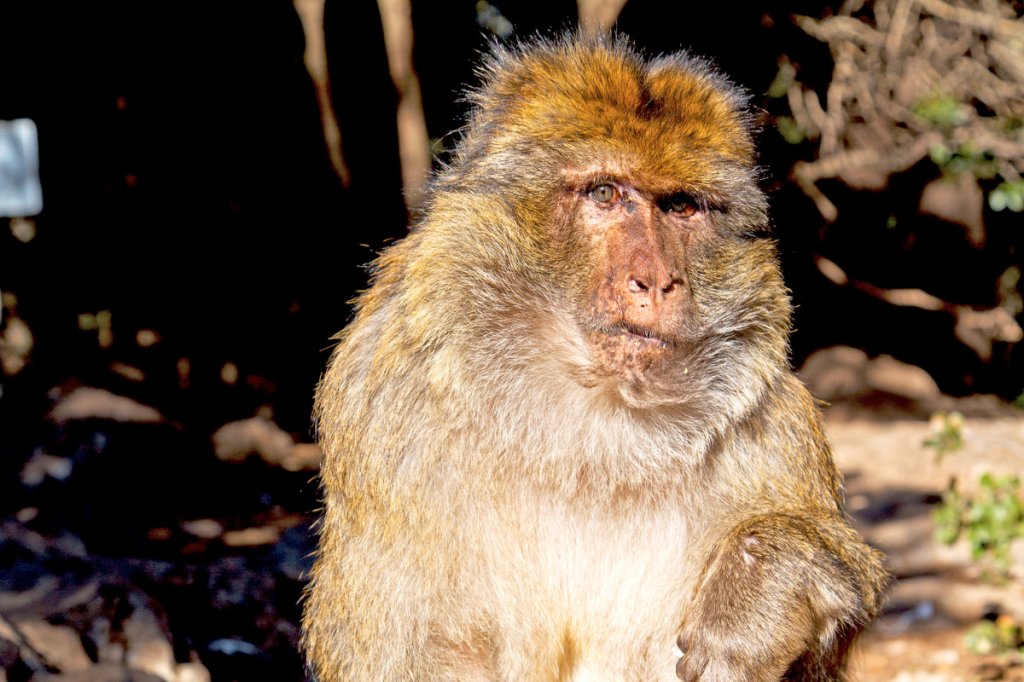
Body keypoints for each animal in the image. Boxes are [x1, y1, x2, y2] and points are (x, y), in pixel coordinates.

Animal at [302, 33, 889, 682]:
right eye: (605, 194)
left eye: (682, 208)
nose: (657, 280)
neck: (595, 429)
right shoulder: (385, 409)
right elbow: (403, 655)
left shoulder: (773, 425)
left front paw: (760, 589)